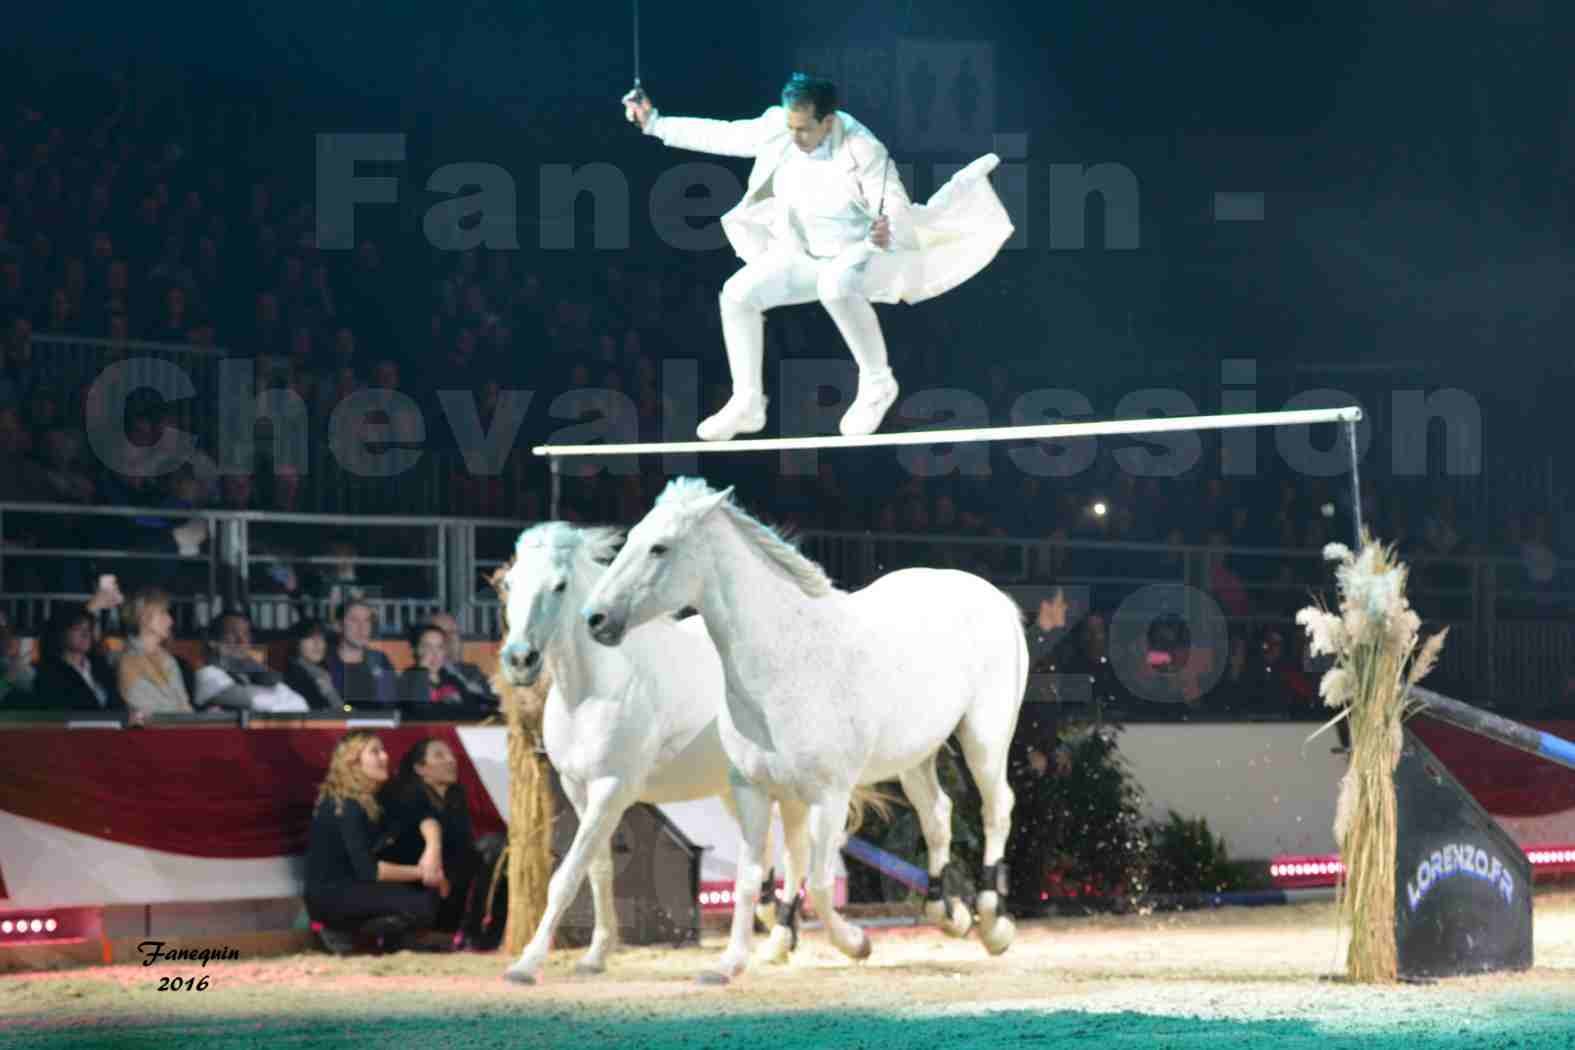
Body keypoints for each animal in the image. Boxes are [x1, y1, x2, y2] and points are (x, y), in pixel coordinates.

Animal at [494, 525, 812, 988]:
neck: (595, 688)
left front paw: (526, 963)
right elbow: (597, 869)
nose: (520, 660)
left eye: (559, 586)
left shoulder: (611, 789)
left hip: (789, 787)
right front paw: (595, 956)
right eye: (509, 584)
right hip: (732, 788)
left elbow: (567, 876)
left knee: (798, 850)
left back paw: (783, 941)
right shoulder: (579, 790)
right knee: (769, 852)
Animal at [585, 481, 1026, 982]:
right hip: (916, 758)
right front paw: (730, 963)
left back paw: (993, 922)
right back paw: (948, 913)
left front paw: (856, 944)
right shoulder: (754, 791)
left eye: (660, 548)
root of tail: (995, 599)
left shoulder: (827, 797)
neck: (787, 661)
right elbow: (751, 878)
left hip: (985, 740)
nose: (595, 618)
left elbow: (816, 883)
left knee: (996, 808)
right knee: (937, 814)